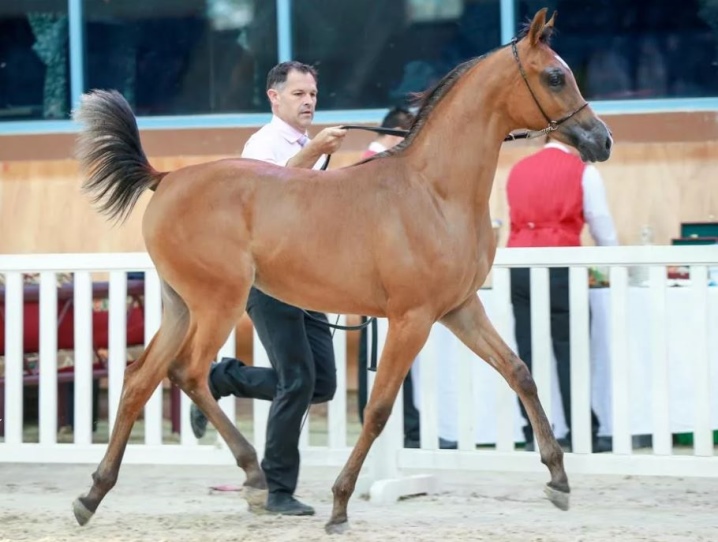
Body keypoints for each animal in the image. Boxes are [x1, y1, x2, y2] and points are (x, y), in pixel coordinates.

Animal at [70, 7, 612, 536]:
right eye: (555, 76)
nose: (601, 141)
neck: (435, 192)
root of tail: (165, 180)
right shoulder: (412, 319)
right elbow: (377, 410)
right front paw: (339, 505)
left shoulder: (460, 309)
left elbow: (520, 372)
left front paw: (559, 480)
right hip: (217, 303)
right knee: (191, 373)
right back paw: (254, 475)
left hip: (180, 305)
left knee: (140, 379)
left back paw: (92, 495)